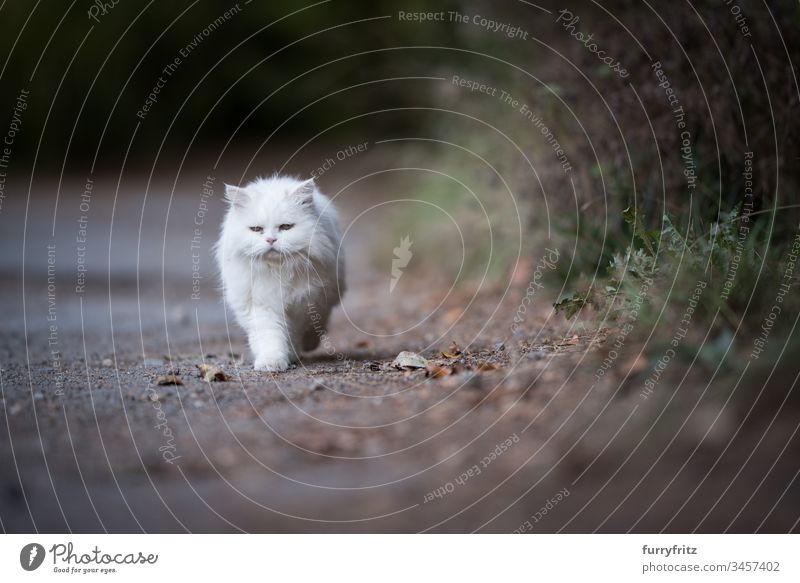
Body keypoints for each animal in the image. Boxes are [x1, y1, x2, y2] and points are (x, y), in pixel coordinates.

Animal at [216, 176, 344, 372]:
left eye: (285, 227)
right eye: (256, 229)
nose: (271, 240)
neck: (278, 270)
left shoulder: (303, 304)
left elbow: (296, 332)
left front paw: (291, 353)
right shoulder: (260, 305)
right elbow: (271, 337)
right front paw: (272, 362)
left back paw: (309, 344)